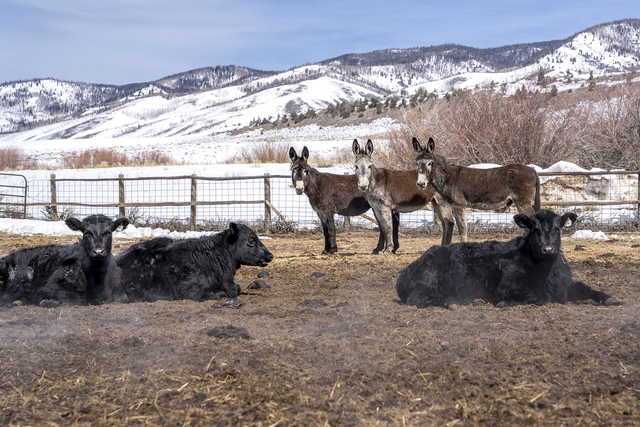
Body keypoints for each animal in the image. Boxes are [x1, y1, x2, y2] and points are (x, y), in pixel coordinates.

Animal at [396, 210, 620, 308]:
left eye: (558, 228)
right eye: (533, 228)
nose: (548, 249)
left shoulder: (565, 285)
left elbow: (585, 288)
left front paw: (609, 298)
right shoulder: (508, 286)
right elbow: (541, 297)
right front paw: (505, 303)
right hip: (429, 281)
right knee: (418, 299)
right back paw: (455, 301)